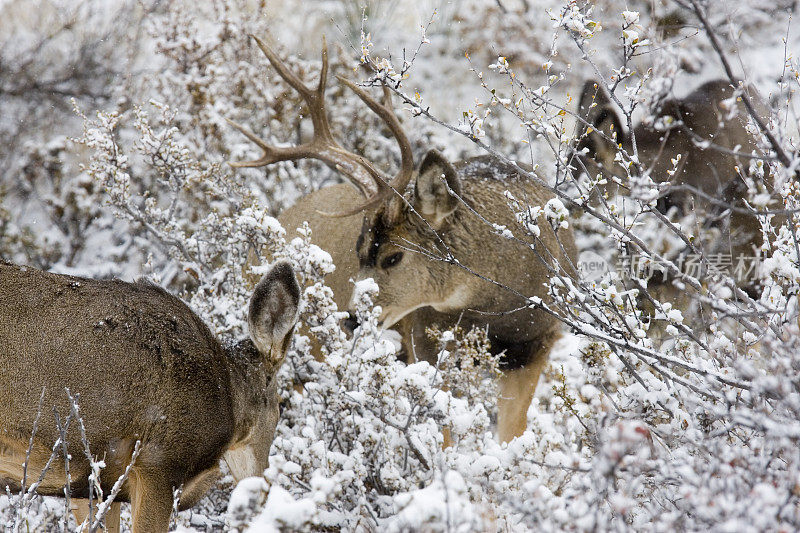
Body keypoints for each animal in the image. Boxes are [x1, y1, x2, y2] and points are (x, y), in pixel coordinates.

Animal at [228, 34, 580, 440]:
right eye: (358, 249)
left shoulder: (537, 345)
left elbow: (513, 435)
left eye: (394, 256)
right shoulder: (425, 340)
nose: (352, 318)